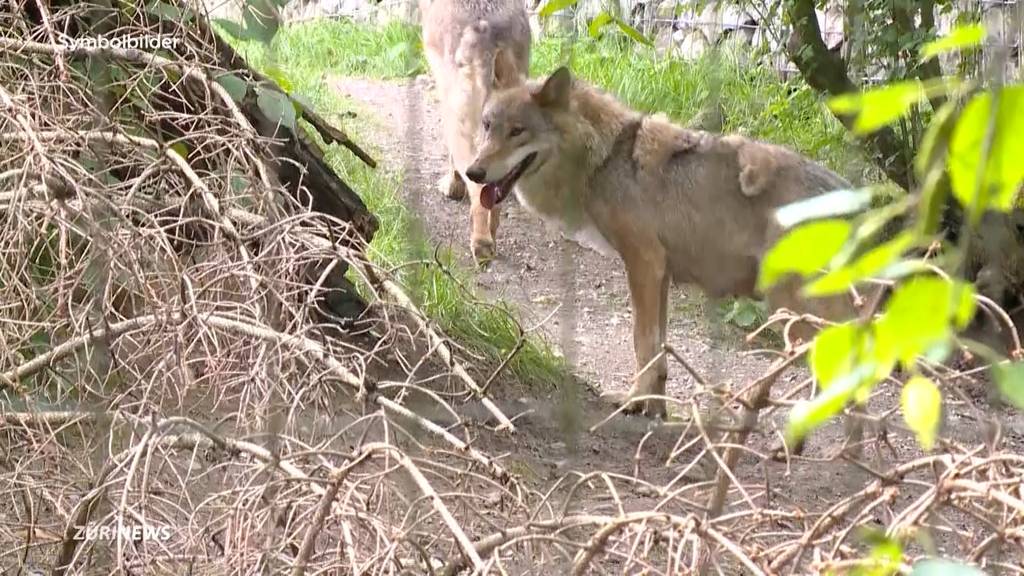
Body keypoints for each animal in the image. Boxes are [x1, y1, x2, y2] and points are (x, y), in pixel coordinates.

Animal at [464, 67, 856, 414]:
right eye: (487, 126)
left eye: (517, 131)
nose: (473, 172)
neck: (605, 158)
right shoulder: (661, 273)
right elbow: (660, 349)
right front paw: (655, 407)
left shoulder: (643, 264)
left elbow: (642, 341)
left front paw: (634, 400)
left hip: (794, 312)